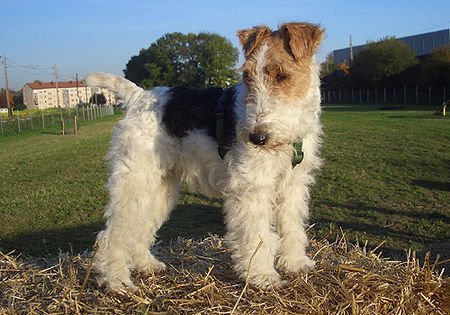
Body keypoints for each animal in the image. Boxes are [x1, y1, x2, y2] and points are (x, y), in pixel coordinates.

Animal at [85, 22, 324, 294]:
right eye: (247, 76)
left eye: (282, 76)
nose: (256, 137)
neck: (289, 136)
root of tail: (139, 96)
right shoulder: (252, 188)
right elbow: (258, 235)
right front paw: (263, 276)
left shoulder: (293, 185)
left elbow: (292, 227)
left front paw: (295, 263)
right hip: (135, 180)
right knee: (110, 235)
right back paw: (116, 281)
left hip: (159, 188)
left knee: (138, 230)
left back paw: (147, 265)